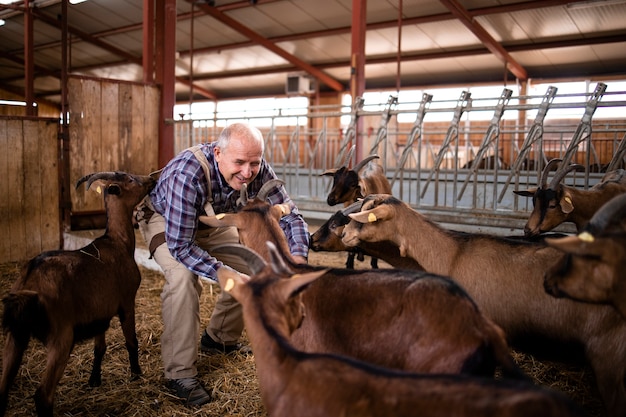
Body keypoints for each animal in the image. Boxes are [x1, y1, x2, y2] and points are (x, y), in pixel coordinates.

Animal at [0, 171, 155, 414]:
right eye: (130, 179)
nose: (151, 179)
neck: (117, 242)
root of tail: (29, 281)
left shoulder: (100, 313)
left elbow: (99, 347)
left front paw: (94, 380)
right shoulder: (127, 301)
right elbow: (131, 340)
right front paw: (136, 374)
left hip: (16, 335)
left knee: (3, 388)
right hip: (61, 337)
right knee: (43, 395)